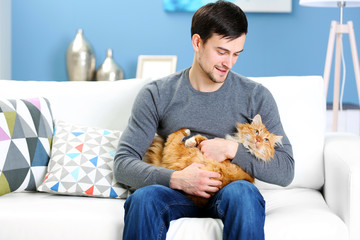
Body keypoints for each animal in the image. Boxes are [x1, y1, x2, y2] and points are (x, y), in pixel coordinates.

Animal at [145, 114, 282, 206]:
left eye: (266, 140)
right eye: (256, 131)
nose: (258, 140)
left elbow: (204, 139)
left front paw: (191, 140)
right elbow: (202, 139)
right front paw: (193, 141)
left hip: (177, 150)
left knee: (173, 137)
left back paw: (185, 131)